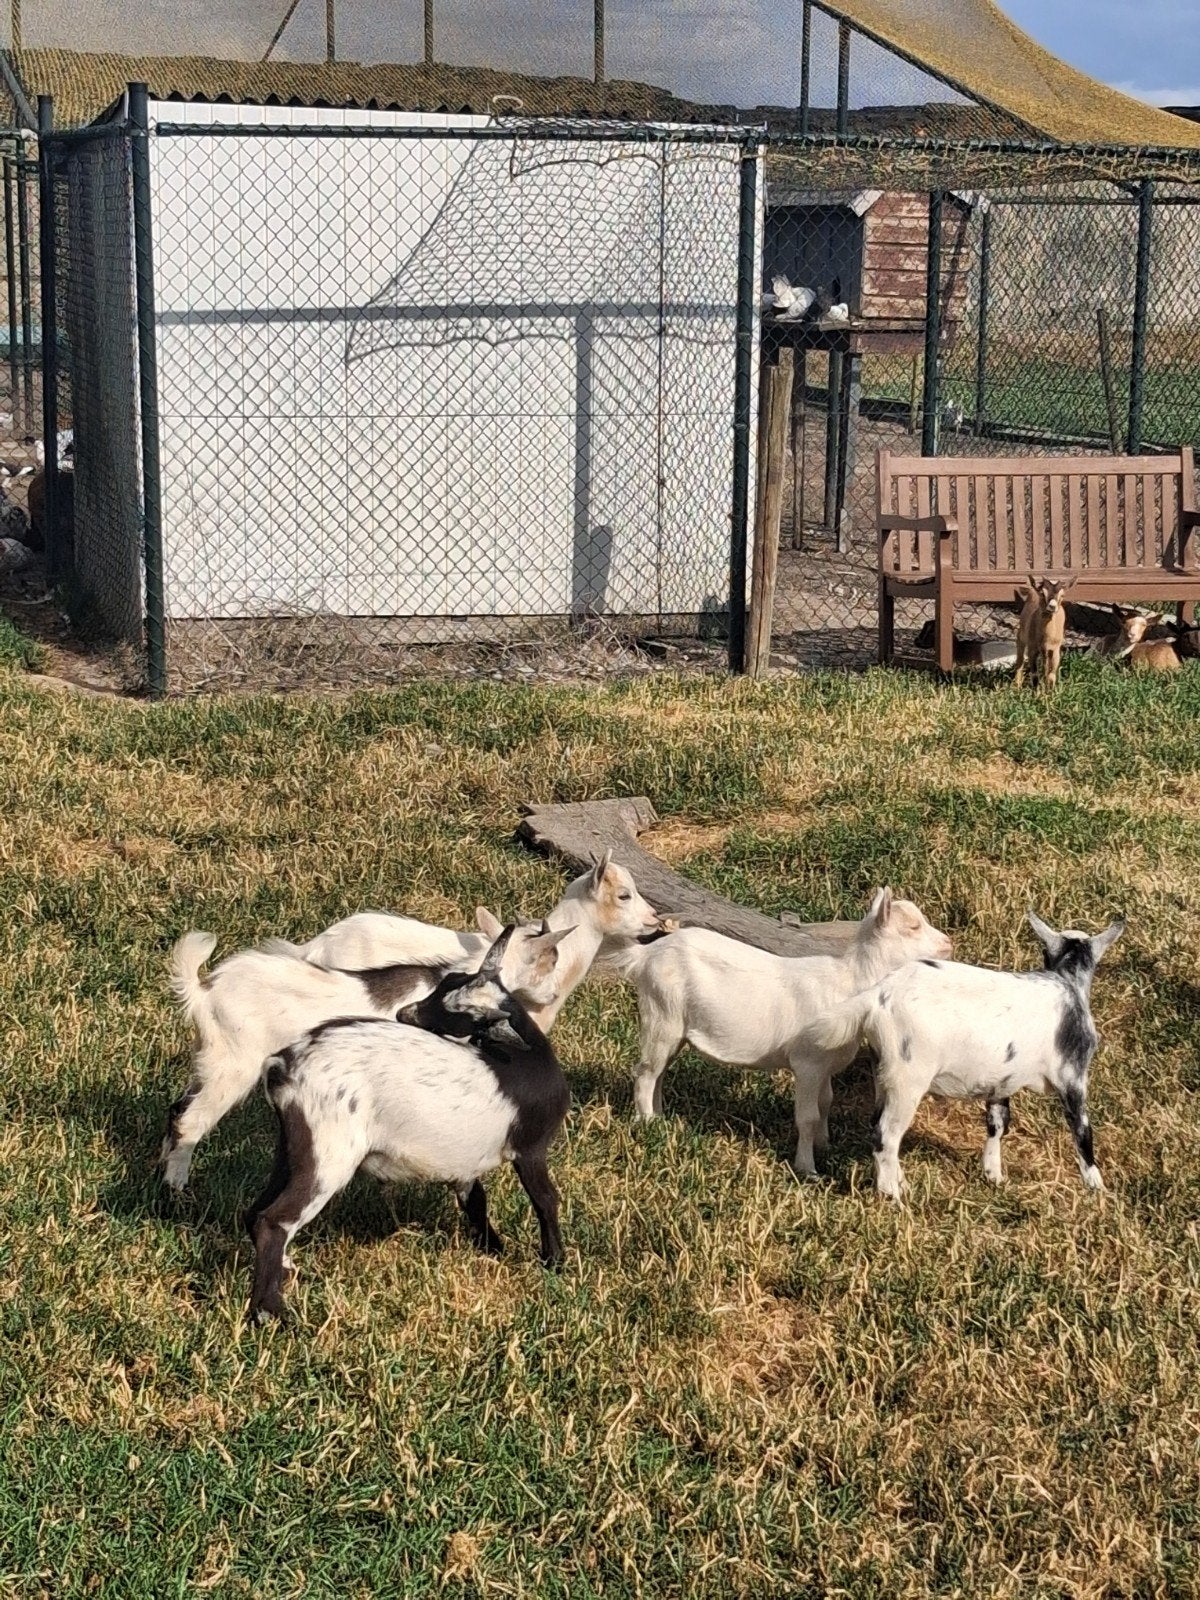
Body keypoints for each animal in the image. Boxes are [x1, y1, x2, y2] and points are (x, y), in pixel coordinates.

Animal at [160, 919, 566, 1192]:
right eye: (549, 962)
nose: (553, 997)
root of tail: (204, 990)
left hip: (209, 1061)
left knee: (178, 1109)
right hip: (234, 1066)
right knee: (192, 1120)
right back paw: (176, 1186)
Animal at [245, 926, 572, 1320]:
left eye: (454, 1007)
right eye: (444, 988)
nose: (405, 1013)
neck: (524, 1058)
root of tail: (284, 1065)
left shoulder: (464, 1161)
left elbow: (476, 1201)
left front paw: (495, 1249)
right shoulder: (531, 1149)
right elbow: (546, 1199)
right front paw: (554, 1261)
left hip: (294, 1149)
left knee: (254, 1212)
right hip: (328, 1155)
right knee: (274, 1220)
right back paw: (272, 1312)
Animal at [604, 888, 951, 1173]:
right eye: (913, 927)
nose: (948, 943)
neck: (849, 982)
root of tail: (646, 956)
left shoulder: (824, 1064)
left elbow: (826, 1102)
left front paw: (826, 1145)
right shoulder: (808, 1063)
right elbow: (808, 1116)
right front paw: (807, 1168)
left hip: (672, 1027)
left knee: (659, 1072)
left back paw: (661, 1120)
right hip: (661, 1015)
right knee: (645, 1073)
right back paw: (646, 1124)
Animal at [802, 912, 1123, 1200]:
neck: (1067, 984)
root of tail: (879, 995)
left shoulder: (1001, 1081)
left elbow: (998, 1123)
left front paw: (994, 1175)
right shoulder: (1073, 1077)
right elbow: (1082, 1130)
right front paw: (1097, 1187)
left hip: (883, 1072)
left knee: (877, 1124)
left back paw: (899, 1182)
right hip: (908, 1077)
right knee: (886, 1135)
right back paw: (892, 1194)